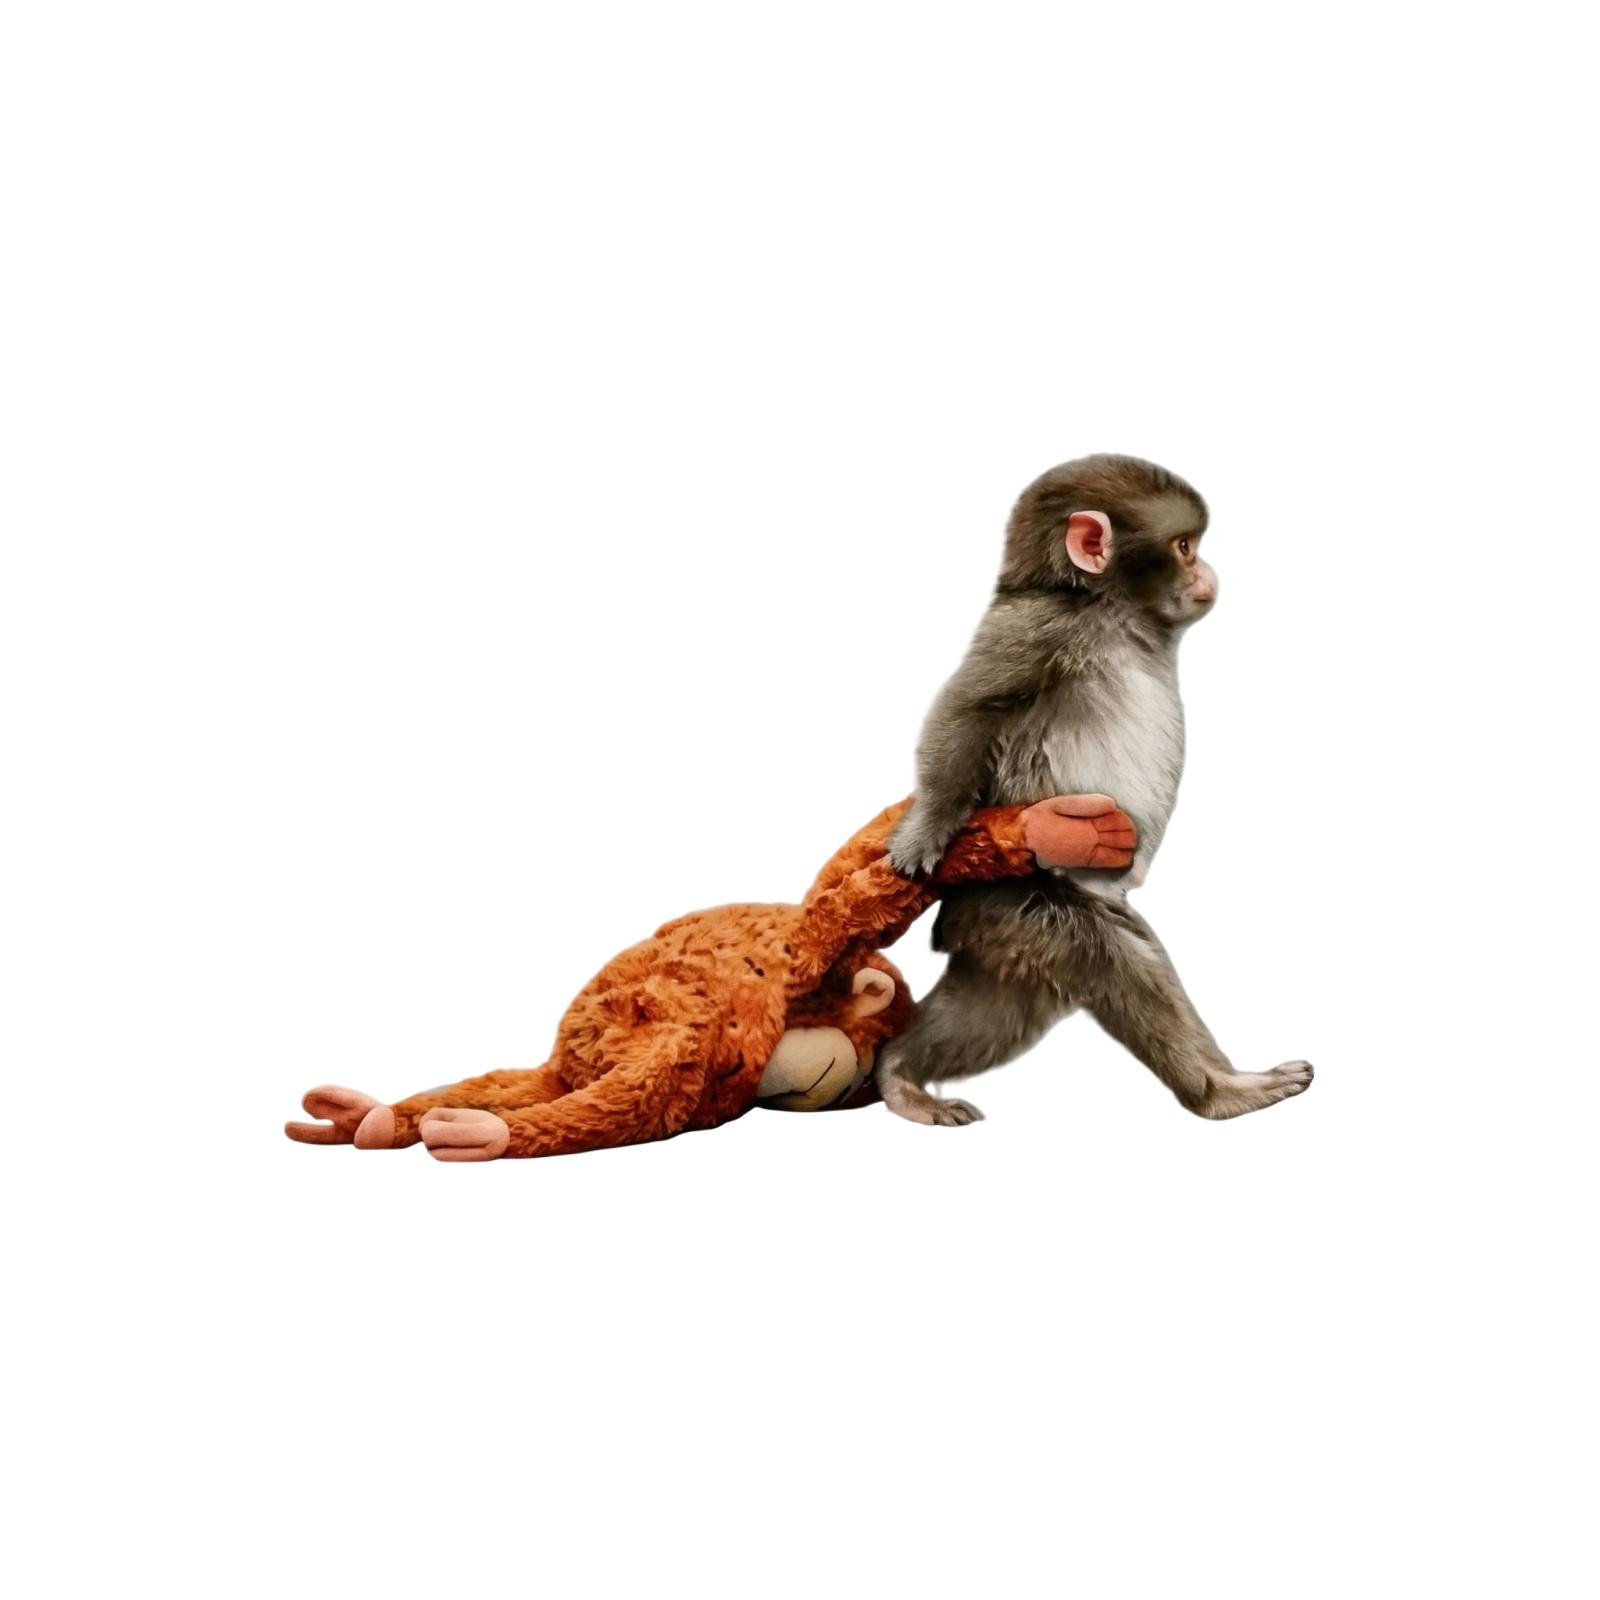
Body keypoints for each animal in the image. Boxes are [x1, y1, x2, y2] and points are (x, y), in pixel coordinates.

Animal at [879, 452, 1313, 1125]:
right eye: (1184, 547)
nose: (1208, 570)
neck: (1109, 611)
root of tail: (964, 925)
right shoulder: (1034, 626)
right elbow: (971, 706)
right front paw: (927, 827)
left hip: (1018, 937)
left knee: (1010, 1004)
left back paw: (898, 1068)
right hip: (1016, 906)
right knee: (1110, 959)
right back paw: (1222, 1095)